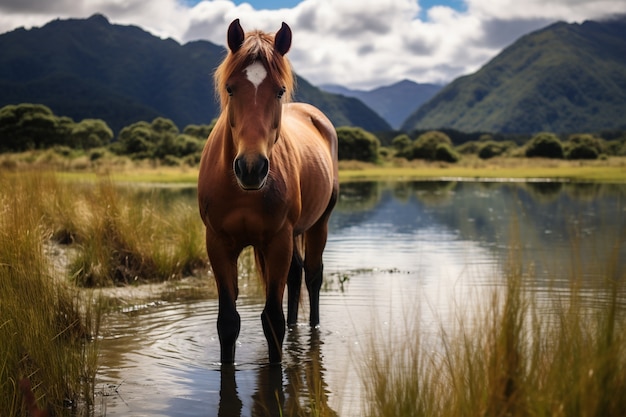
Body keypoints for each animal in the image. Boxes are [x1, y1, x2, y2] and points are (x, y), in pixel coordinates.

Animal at [199, 19, 336, 362]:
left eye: (279, 90)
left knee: (312, 276)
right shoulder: (218, 244)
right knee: (296, 276)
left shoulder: (278, 241)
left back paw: (312, 329)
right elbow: (228, 322)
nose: (251, 167)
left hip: (318, 224)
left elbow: (272, 320)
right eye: (231, 88)